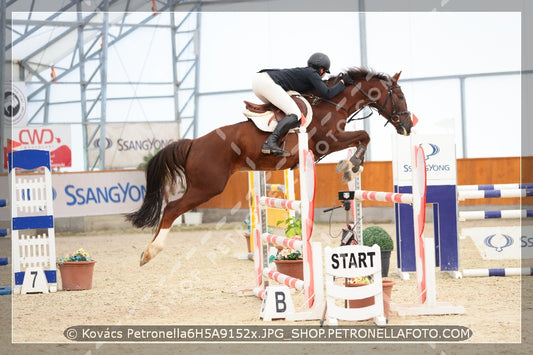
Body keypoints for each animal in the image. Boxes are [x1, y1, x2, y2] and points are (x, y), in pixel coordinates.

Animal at [127, 68, 414, 266]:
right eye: (400, 95)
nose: (408, 126)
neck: (334, 103)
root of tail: (193, 143)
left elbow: (362, 139)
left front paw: (350, 167)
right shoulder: (329, 141)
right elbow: (364, 136)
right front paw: (350, 165)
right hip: (207, 186)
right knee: (172, 209)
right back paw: (149, 252)